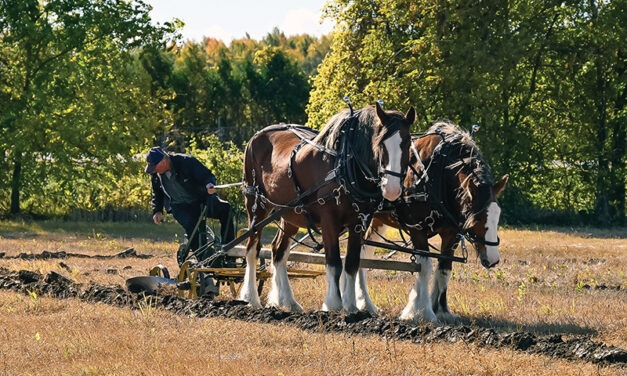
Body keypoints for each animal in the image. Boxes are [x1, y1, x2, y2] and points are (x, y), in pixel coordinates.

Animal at [240, 102, 418, 312]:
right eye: (380, 143)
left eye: (407, 143)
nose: (391, 189)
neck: (343, 166)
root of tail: (257, 135)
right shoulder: (329, 221)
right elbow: (334, 263)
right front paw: (333, 304)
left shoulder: (359, 223)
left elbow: (351, 263)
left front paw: (351, 306)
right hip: (256, 206)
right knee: (252, 248)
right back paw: (251, 298)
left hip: (291, 214)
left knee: (278, 251)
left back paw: (288, 301)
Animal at [354, 122, 510, 322]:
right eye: (478, 218)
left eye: (497, 215)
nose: (493, 259)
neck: (437, 175)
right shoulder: (417, 229)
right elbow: (425, 267)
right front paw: (420, 311)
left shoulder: (451, 234)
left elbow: (444, 269)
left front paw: (442, 310)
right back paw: (364, 303)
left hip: (376, 221)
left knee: (365, 251)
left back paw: (365, 302)